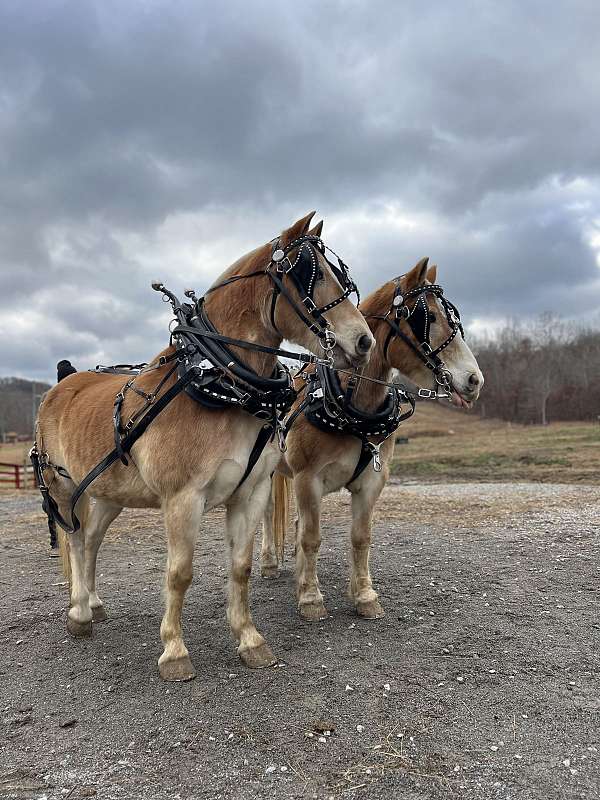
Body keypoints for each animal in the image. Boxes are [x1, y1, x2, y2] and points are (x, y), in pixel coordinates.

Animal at [35, 214, 372, 680]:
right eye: (312, 273)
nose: (364, 341)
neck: (222, 386)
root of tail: (64, 381)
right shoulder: (183, 498)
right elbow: (180, 573)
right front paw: (174, 651)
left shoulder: (251, 493)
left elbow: (240, 567)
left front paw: (250, 640)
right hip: (64, 488)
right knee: (75, 541)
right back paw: (79, 612)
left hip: (108, 494)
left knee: (91, 542)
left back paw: (94, 605)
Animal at [262, 253, 482, 620]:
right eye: (428, 317)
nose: (475, 380)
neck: (349, 405)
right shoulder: (308, 478)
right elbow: (312, 537)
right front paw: (310, 597)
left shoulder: (371, 481)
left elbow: (360, 537)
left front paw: (364, 595)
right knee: (267, 514)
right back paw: (268, 563)